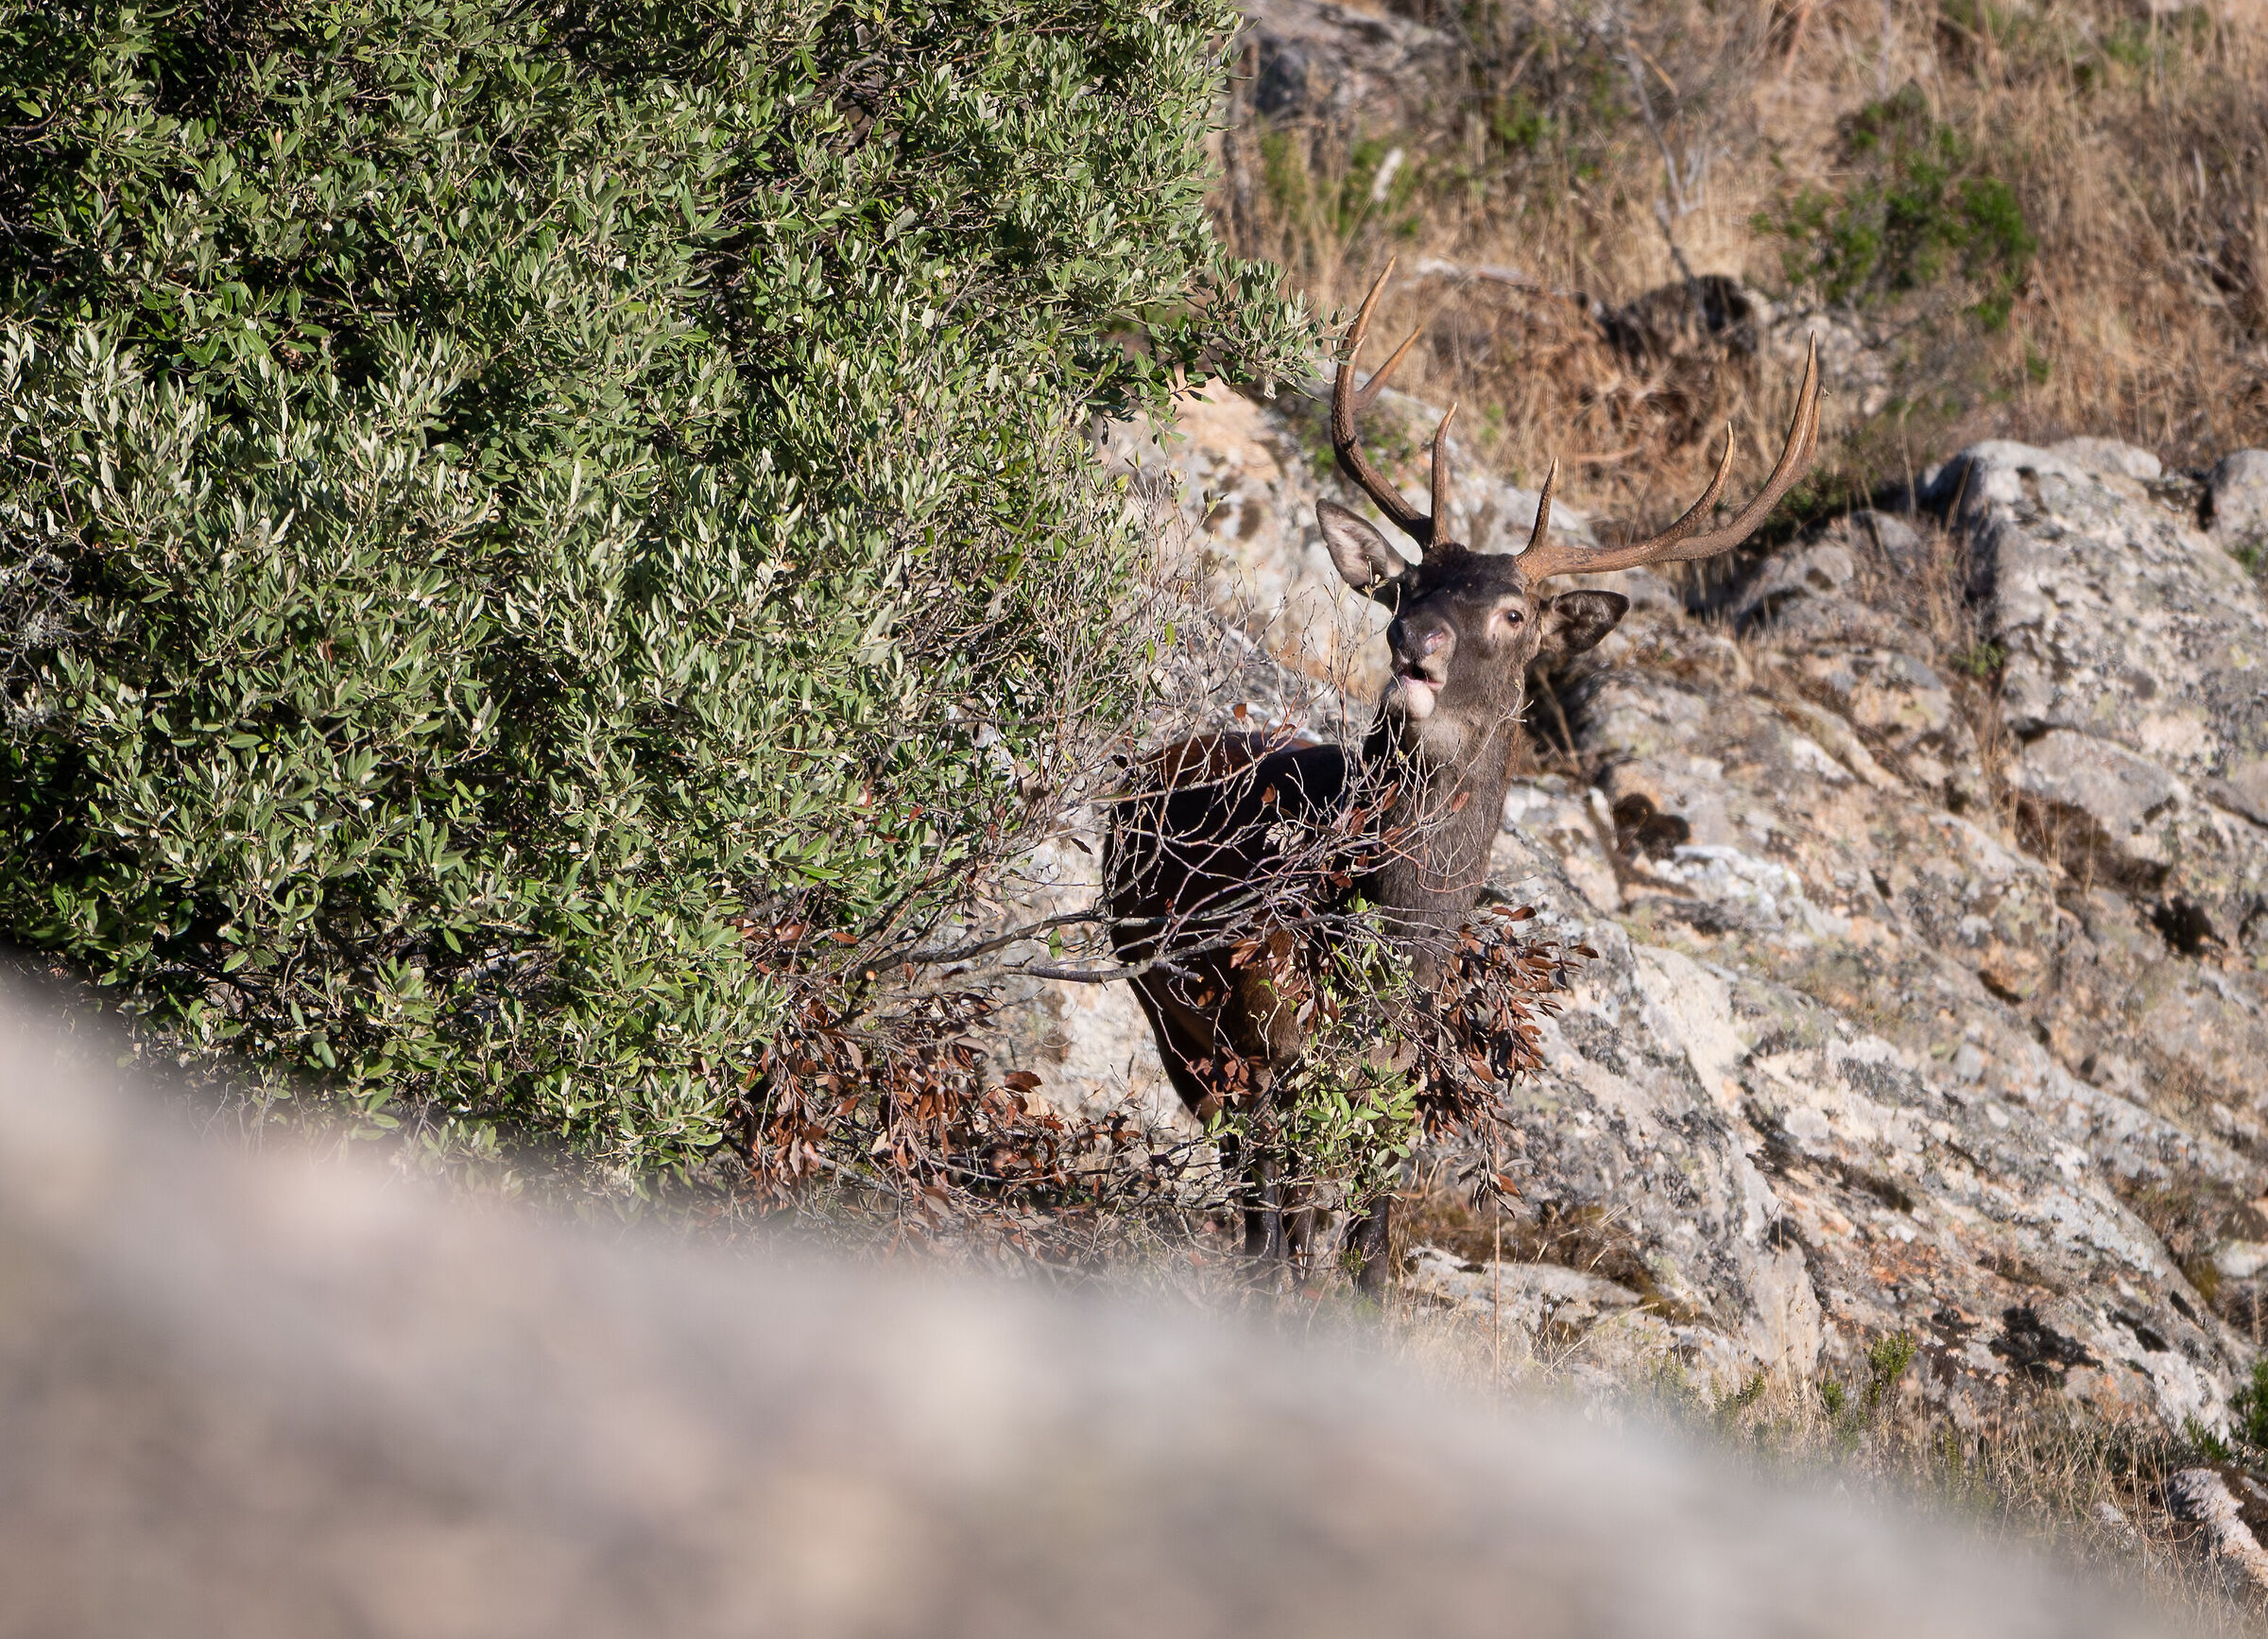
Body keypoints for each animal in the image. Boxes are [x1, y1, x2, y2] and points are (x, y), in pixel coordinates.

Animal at [1106, 262, 1821, 1288]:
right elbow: (1283, 1212)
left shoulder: (1405, 1071)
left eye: (1516, 613)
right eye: (1405, 586)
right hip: (1157, 986)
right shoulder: (1263, 1020)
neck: (1391, 942)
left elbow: (1372, 1238)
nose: (1417, 641)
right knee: (1248, 1173)